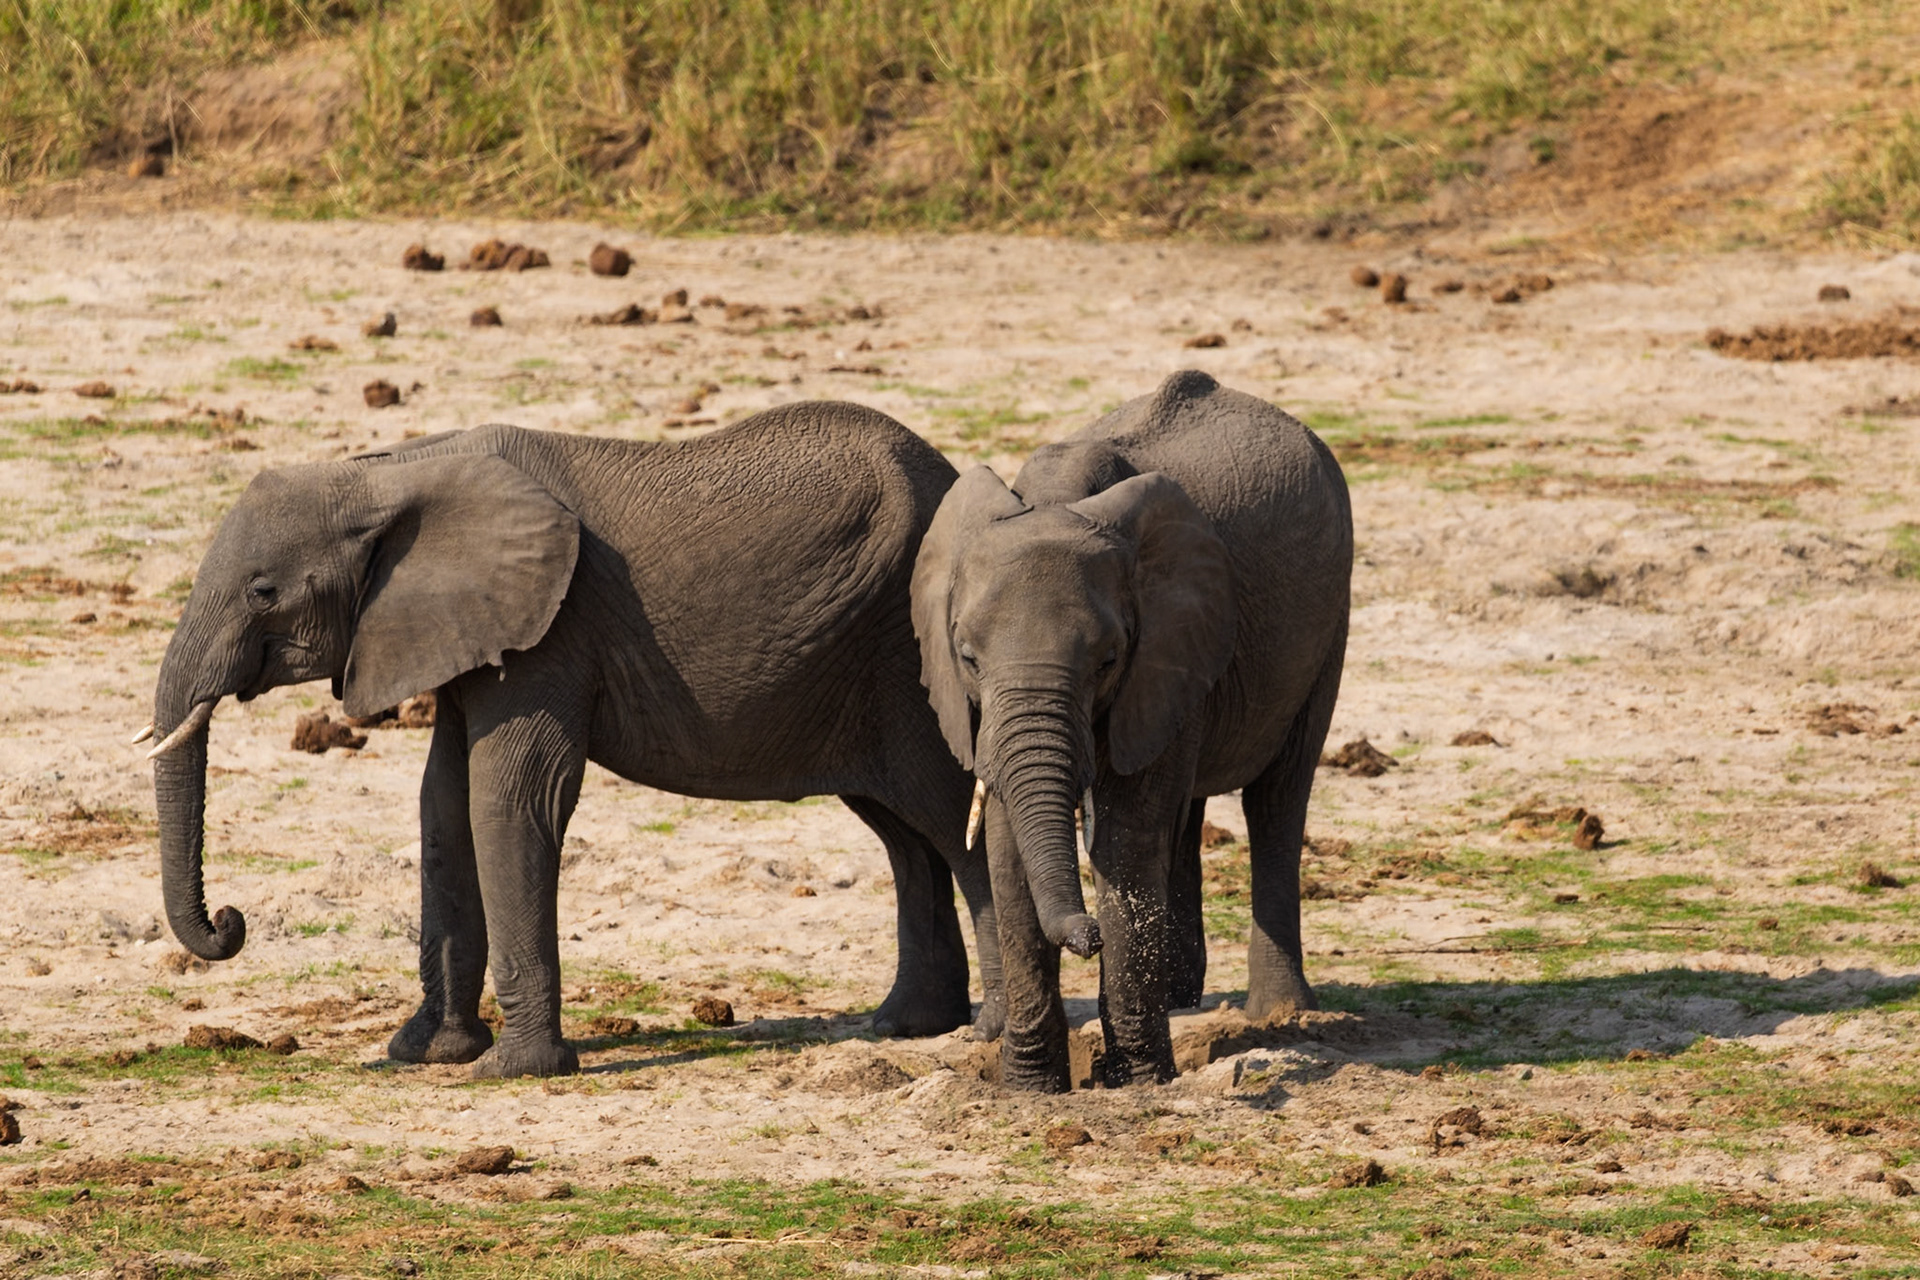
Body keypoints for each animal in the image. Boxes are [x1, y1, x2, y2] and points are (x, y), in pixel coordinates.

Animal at [142, 405, 1002, 1077]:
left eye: (264, 592)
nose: (230, 922)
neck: (391, 473)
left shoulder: (553, 628)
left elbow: (510, 797)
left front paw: (511, 1070)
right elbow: (443, 804)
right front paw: (424, 1053)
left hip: (905, 652)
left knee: (949, 817)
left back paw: (987, 1035)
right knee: (904, 833)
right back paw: (902, 1025)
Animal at [911, 370, 1351, 1091]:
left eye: (1108, 659)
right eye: (967, 656)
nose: (1086, 935)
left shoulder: (1164, 646)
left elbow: (1124, 836)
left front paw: (1137, 1079)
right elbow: (1006, 846)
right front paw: (1029, 1087)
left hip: (1327, 622)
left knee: (1278, 799)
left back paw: (1282, 1014)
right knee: (1189, 808)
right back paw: (1181, 997)